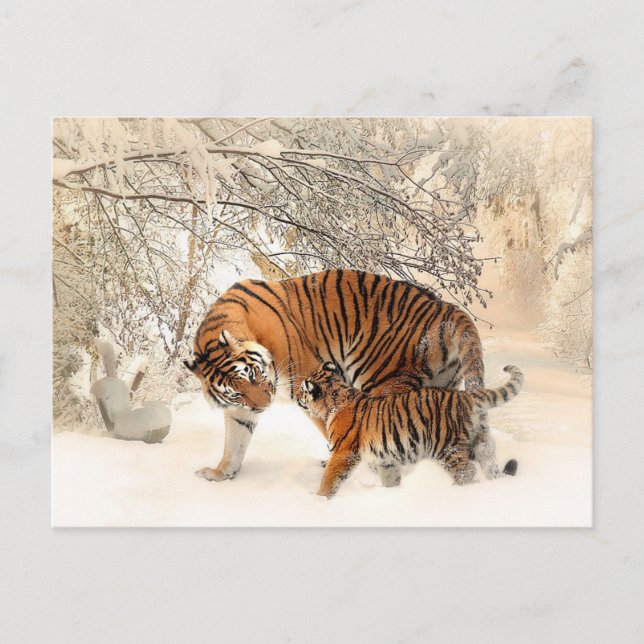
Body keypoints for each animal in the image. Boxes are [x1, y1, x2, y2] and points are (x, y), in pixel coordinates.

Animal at [184, 269, 498, 483]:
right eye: (236, 392)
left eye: (253, 375)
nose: (264, 406)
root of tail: (445, 308)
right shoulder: (240, 409)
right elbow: (235, 441)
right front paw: (220, 473)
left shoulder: (308, 381)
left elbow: (335, 428)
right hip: (442, 387)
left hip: (384, 381)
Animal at [296, 362, 523, 498]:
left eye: (302, 391)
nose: (297, 397)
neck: (336, 398)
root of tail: (466, 396)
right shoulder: (385, 458)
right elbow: (391, 477)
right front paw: (392, 494)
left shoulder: (344, 452)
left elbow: (330, 478)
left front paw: (318, 499)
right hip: (481, 442)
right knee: (490, 465)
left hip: (446, 448)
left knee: (467, 471)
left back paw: (454, 491)